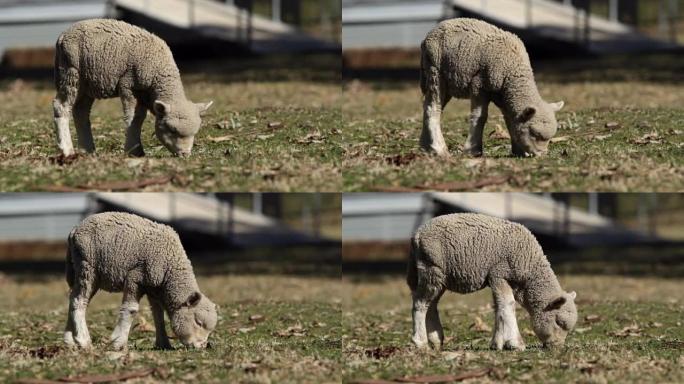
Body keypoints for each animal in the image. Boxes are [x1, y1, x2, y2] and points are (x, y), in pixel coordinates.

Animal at [52, 18, 212, 157]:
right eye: (172, 130)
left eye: (195, 132)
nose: (185, 154)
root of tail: (62, 36)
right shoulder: (129, 86)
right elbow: (134, 118)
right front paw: (134, 151)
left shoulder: (144, 94)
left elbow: (139, 118)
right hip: (71, 72)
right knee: (61, 106)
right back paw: (67, 149)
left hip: (87, 84)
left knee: (81, 112)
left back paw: (87, 150)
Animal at [63, 212, 216, 350]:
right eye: (198, 322)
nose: (203, 346)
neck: (170, 268)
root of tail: (74, 230)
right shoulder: (136, 277)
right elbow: (131, 310)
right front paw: (118, 343)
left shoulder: (154, 287)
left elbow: (158, 314)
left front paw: (164, 344)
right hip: (87, 267)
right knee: (79, 301)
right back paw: (83, 341)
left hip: (78, 270)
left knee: (73, 299)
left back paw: (70, 341)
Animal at [406, 213, 576, 352]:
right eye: (559, 322)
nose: (557, 347)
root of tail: (416, 235)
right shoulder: (499, 274)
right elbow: (508, 305)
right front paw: (516, 343)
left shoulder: (497, 279)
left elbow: (499, 307)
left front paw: (497, 343)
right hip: (431, 269)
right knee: (420, 304)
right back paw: (420, 342)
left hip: (439, 276)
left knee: (431, 305)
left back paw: (436, 340)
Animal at [420, 18, 564, 157]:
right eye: (533, 133)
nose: (542, 155)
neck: (513, 73)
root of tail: (429, 35)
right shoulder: (479, 85)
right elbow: (480, 116)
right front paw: (473, 150)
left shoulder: (504, 97)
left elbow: (510, 119)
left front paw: (518, 151)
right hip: (435, 72)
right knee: (433, 108)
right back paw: (439, 148)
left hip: (443, 82)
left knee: (429, 107)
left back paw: (426, 147)